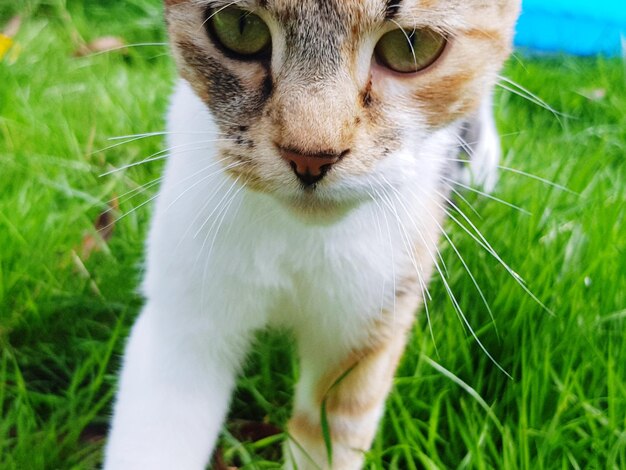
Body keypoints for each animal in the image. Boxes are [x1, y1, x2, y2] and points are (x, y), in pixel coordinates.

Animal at [105, 1, 520, 468]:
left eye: (411, 46)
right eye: (239, 26)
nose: (309, 157)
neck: (300, 236)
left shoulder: (370, 317)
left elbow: (332, 426)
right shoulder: (186, 311)